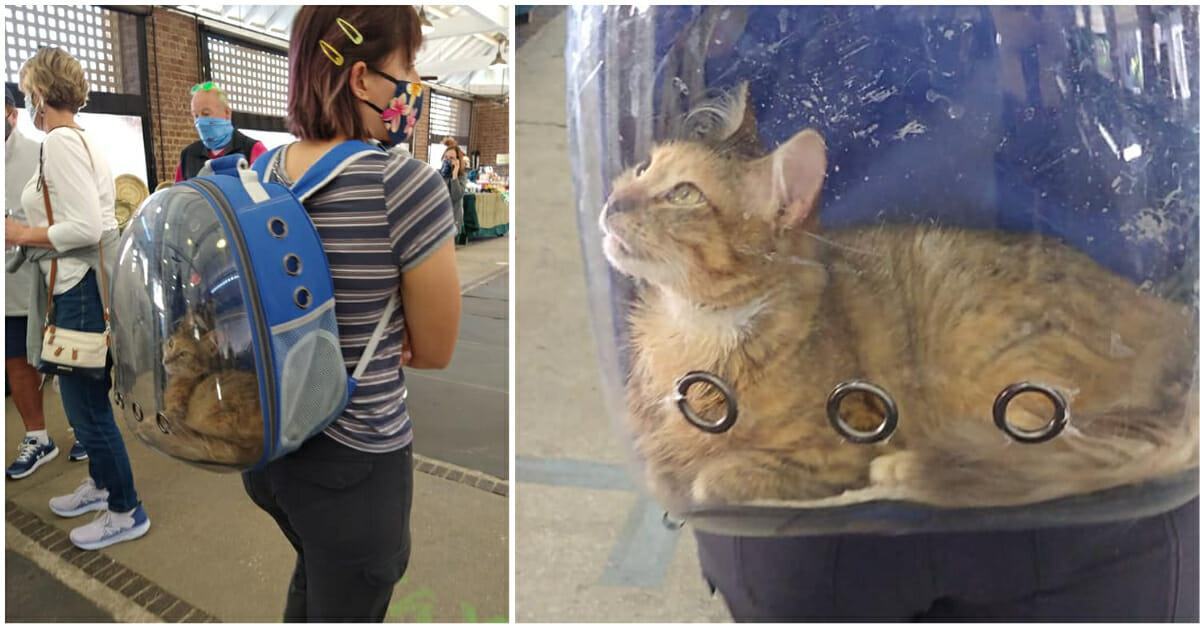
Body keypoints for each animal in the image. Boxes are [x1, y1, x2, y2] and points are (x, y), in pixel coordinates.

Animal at [604, 81, 1195, 511]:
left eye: (683, 194)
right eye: (643, 168)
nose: (612, 202)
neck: (692, 328)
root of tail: (1174, 314)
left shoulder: (839, 446)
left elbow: (713, 477)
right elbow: (662, 463)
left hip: (1004, 367)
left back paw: (910, 471)